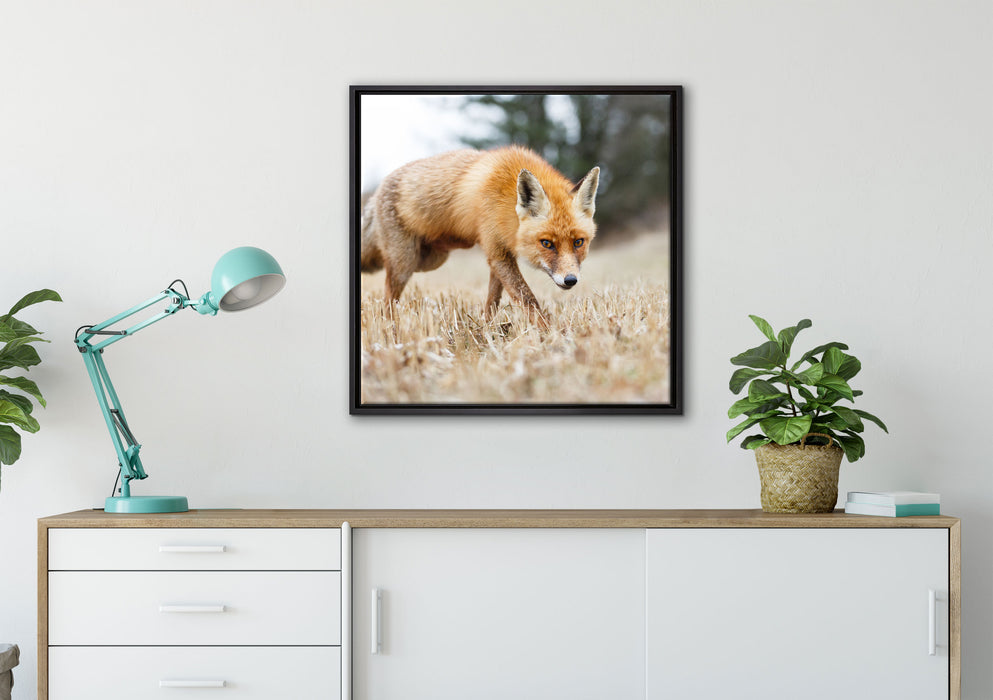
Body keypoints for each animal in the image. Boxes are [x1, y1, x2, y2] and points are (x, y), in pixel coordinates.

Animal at [360, 145, 600, 326]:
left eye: (578, 242)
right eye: (547, 243)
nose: (570, 280)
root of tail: (376, 192)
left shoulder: (501, 254)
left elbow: (493, 300)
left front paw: (487, 328)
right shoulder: (496, 251)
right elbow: (527, 298)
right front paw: (549, 334)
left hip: (429, 259)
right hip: (405, 264)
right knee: (388, 298)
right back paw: (390, 327)